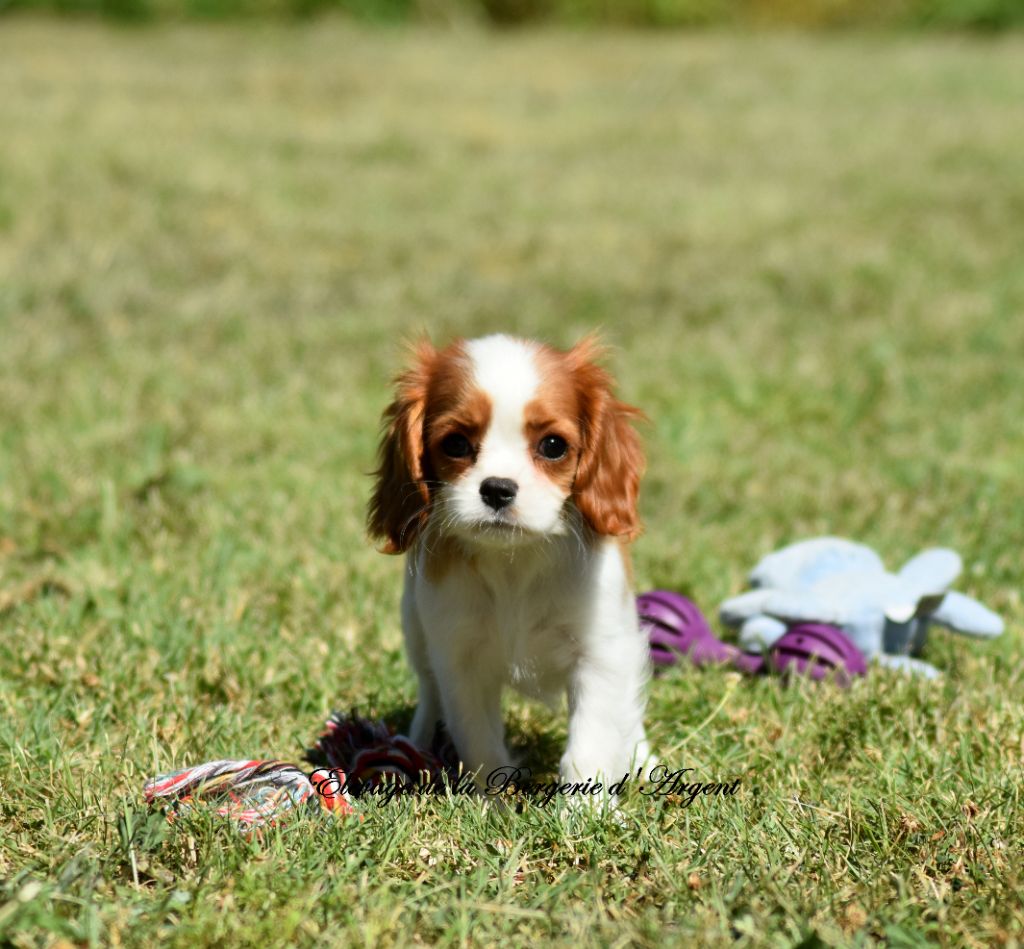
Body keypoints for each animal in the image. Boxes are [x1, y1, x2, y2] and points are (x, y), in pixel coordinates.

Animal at [370, 333, 655, 794]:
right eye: (455, 443)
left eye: (553, 446)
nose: (498, 489)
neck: (514, 560)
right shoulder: (460, 661)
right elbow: (480, 742)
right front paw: (493, 802)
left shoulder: (600, 654)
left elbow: (590, 744)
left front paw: (586, 808)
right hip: (415, 631)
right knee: (429, 693)